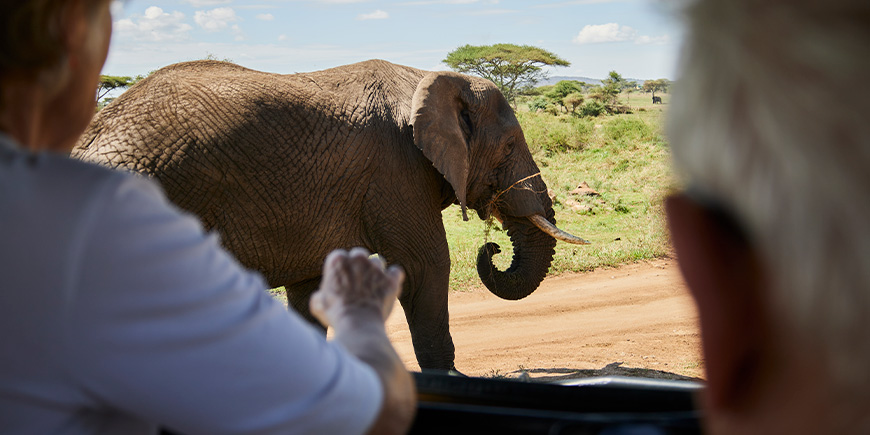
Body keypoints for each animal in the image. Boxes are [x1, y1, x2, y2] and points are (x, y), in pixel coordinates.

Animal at [73, 58, 592, 372]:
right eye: (508, 148)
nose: (493, 246)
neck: (425, 76)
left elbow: (311, 288)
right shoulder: (396, 170)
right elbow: (425, 267)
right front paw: (451, 379)